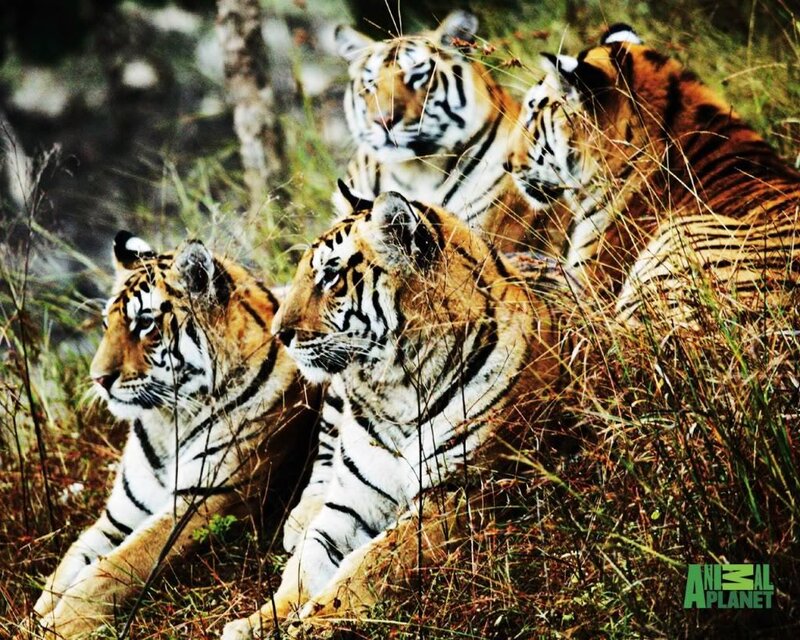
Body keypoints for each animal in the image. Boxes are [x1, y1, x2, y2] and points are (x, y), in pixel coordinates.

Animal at [29, 232, 319, 639]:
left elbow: (111, 568)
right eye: (105, 325)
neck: (166, 422)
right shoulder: (118, 515)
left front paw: (58, 625)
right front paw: (32, 618)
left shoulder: (203, 502)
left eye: (144, 324)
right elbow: (65, 568)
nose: (98, 379)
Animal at [221, 187, 579, 639]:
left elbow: (368, 567)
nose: (278, 334)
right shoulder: (350, 504)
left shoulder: (453, 495)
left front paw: (309, 625)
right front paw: (255, 623)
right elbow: (302, 569)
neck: (394, 390)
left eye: (330, 276)